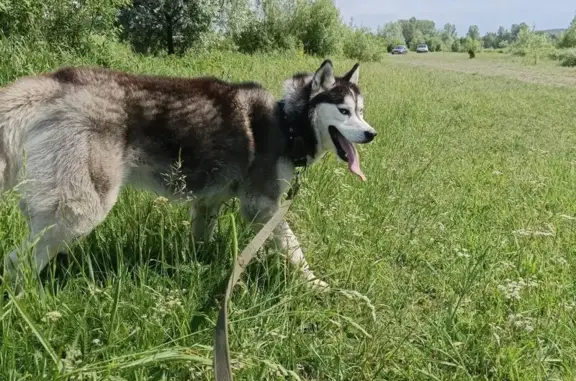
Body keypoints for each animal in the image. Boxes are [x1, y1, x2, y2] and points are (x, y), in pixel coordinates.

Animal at [0, 59, 376, 290]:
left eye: (361, 111)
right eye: (343, 111)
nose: (371, 134)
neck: (287, 123)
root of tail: (59, 81)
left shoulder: (208, 204)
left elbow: (200, 241)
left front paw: (197, 268)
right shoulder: (262, 206)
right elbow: (295, 250)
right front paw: (315, 285)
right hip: (82, 210)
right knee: (17, 262)